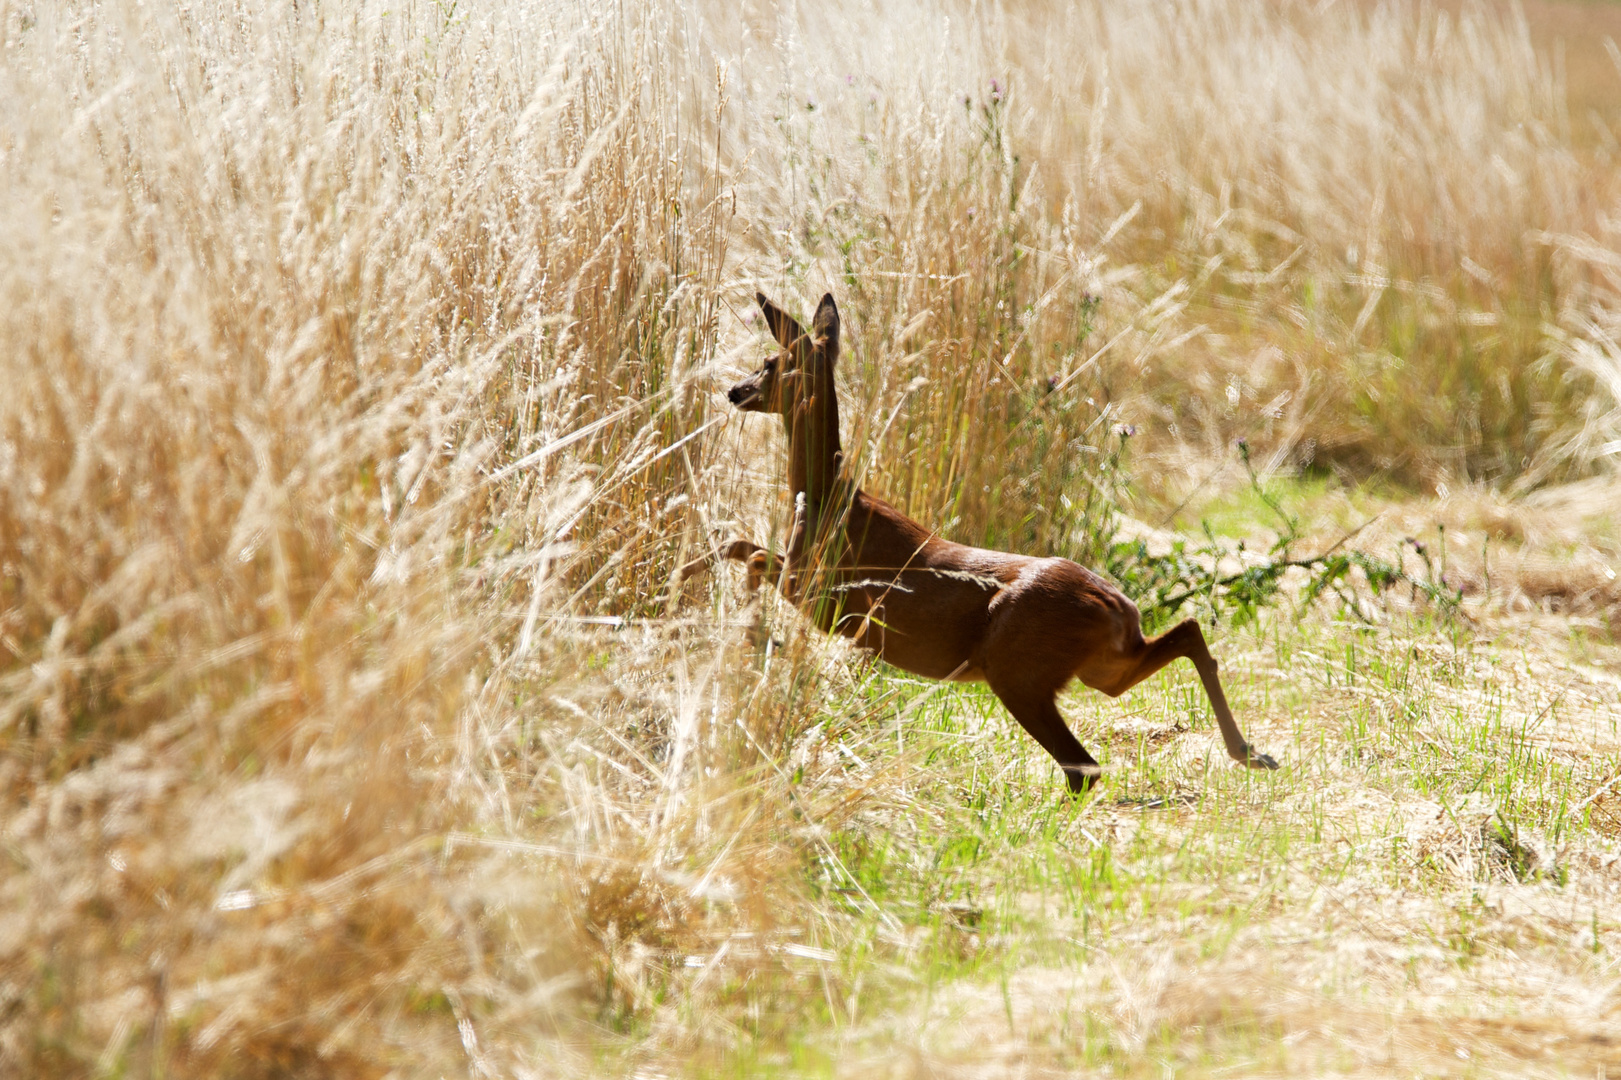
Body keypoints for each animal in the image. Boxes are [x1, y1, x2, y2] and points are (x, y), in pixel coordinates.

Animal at [677, 290, 1270, 788]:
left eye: (771, 363)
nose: (734, 391)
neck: (827, 496)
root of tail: (1116, 608)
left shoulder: (828, 594)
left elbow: (748, 550)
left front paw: (746, 628)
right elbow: (740, 544)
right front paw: (730, 617)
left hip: (1018, 669)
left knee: (1084, 766)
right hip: (1100, 666)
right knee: (1183, 636)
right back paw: (1251, 752)